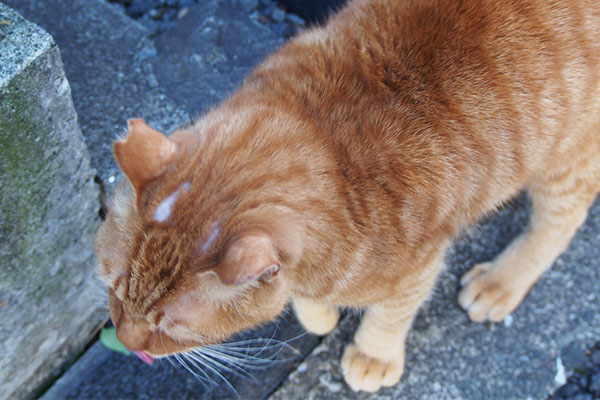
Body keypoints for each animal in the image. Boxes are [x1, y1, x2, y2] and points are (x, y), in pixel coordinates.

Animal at [95, 0, 600, 392]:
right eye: (114, 289)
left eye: (171, 325)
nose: (128, 342)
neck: (324, 136)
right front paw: (318, 315)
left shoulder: (418, 265)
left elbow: (391, 313)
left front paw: (373, 355)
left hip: (567, 157)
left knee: (563, 218)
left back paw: (501, 281)